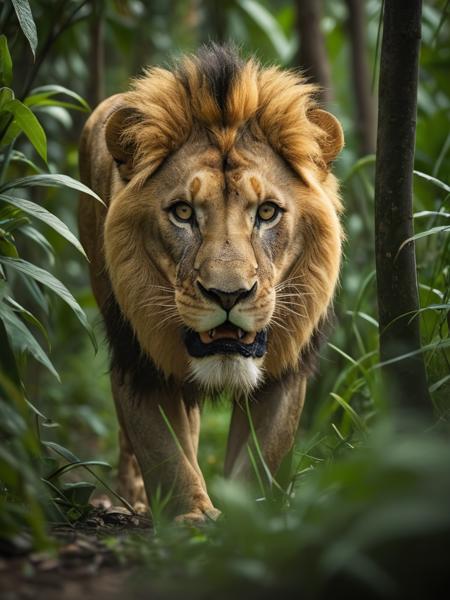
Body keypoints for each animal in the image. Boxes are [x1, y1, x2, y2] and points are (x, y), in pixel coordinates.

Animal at [78, 44, 344, 524]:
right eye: (183, 212)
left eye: (267, 212)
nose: (228, 294)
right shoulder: (136, 357)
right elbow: (163, 451)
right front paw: (191, 518)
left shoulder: (284, 371)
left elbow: (261, 457)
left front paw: (244, 520)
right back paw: (131, 499)